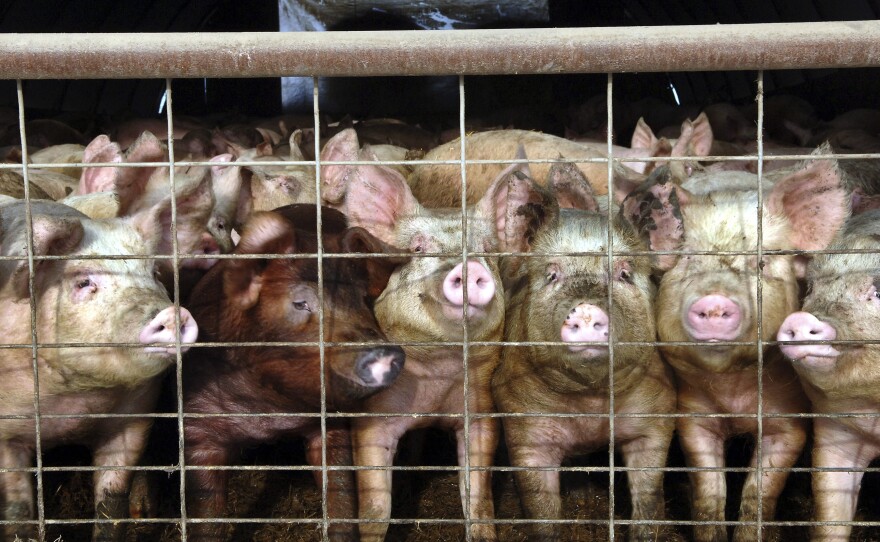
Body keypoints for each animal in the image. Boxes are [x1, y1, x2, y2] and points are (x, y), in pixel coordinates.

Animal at [0, 199, 198, 541]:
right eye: (84, 282)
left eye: (154, 273)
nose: (172, 313)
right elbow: (17, 512)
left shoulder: (133, 418)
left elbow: (112, 502)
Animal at [182, 204, 406, 542]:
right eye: (300, 303)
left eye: (363, 300)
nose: (386, 352)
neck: (268, 412)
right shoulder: (199, 426)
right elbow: (206, 508)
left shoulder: (332, 420)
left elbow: (339, 490)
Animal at [321, 142, 545, 541]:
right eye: (417, 249)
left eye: (486, 250)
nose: (470, 267)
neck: (439, 371)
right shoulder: (371, 416)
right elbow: (376, 507)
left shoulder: (480, 408)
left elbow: (477, 494)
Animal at [492, 161, 676, 541]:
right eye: (551, 274)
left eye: (625, 273)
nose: (587, 309)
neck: (591, 403)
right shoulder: (523, 420)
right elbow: (541, 506)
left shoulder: (658, 411)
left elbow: (649, 494)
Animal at [620, 149, 851, 542]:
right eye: (689, 260)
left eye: (761, 263)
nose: (714, 301)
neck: (734, 390)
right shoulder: (694, 414)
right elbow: (709, 492)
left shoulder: (788, 420)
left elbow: (760, 492)